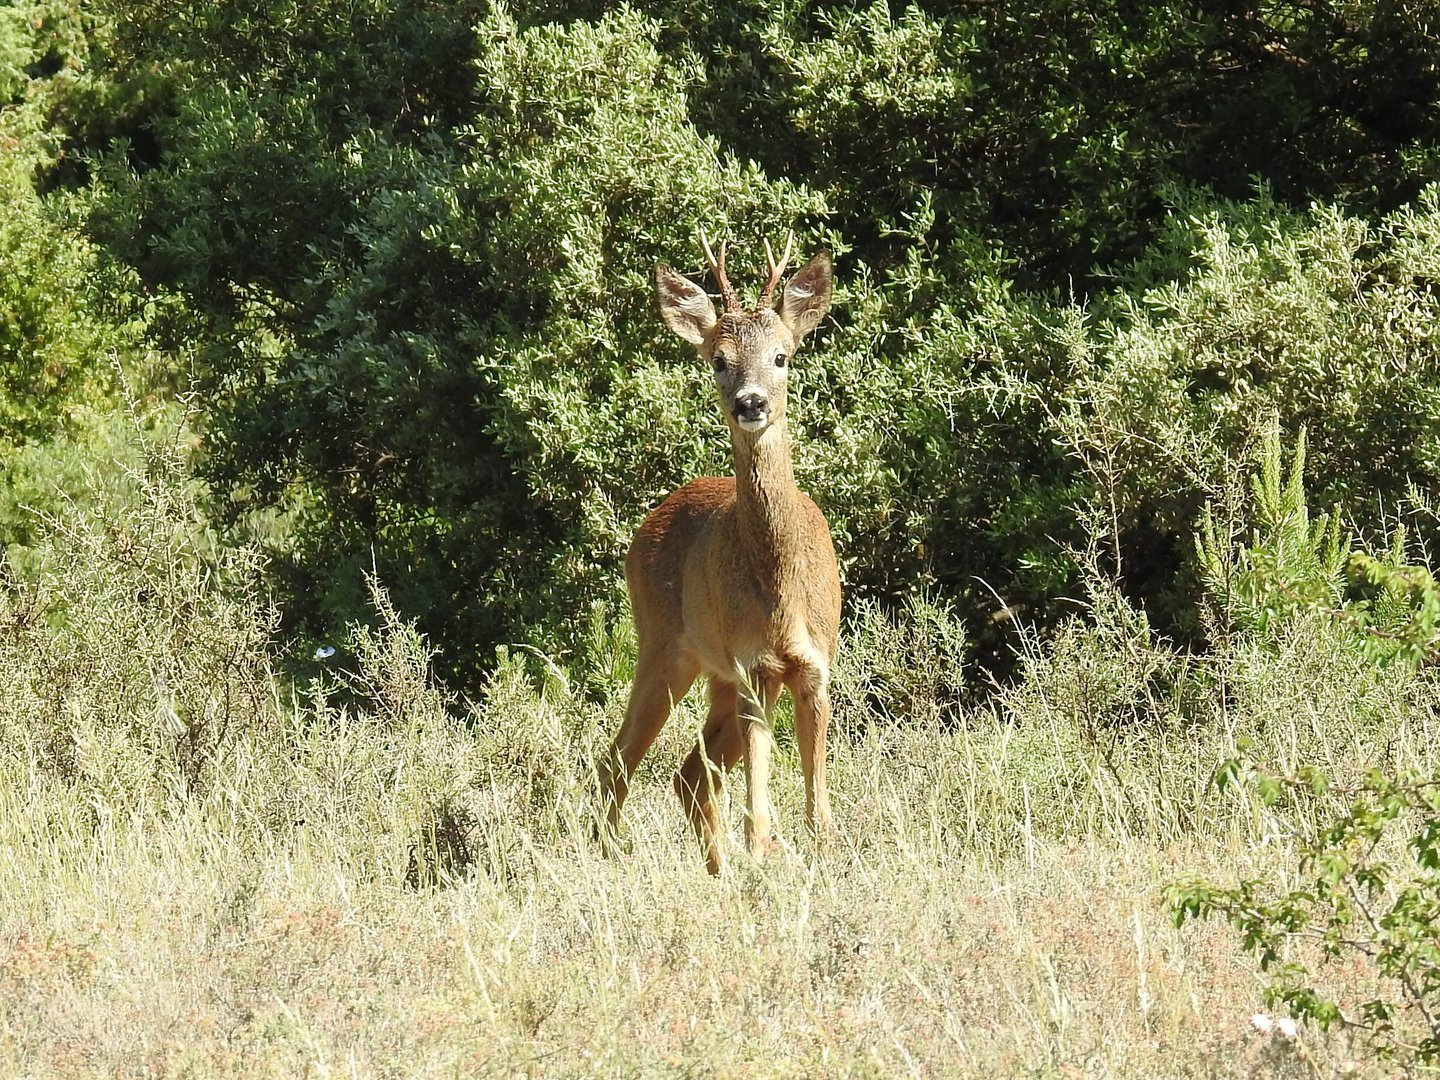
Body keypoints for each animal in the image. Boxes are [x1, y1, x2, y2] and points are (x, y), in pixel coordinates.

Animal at [596, 232, 840, 875]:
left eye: (782, 356)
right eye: (718, 360)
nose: (751, 403)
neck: (780, 591)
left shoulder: (814, 665)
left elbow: (818, 805)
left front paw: (816, 856)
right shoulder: (754, 664)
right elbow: (762, 795)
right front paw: (763, 853)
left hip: (715, 675)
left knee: (690, 773)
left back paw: (716, 870)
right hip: (664, 646)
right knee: (617, 763)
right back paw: (613, 859)